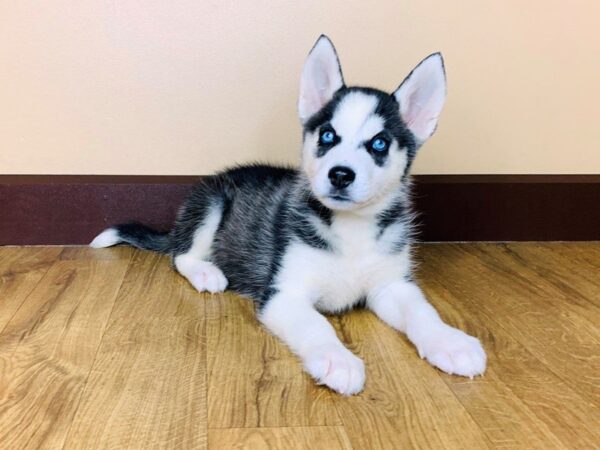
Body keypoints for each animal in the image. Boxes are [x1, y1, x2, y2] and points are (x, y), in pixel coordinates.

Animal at [91, 36, 486, 394]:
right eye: (327, 135)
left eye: (379, 143)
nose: (340, 174)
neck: (351, 231)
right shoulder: (285, 294)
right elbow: (317, 325)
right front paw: (338, 359)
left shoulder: (392, 286)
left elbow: (423, 312)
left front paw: (450, 342)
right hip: (212, 202)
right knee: (181, 255)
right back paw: (207, 272)